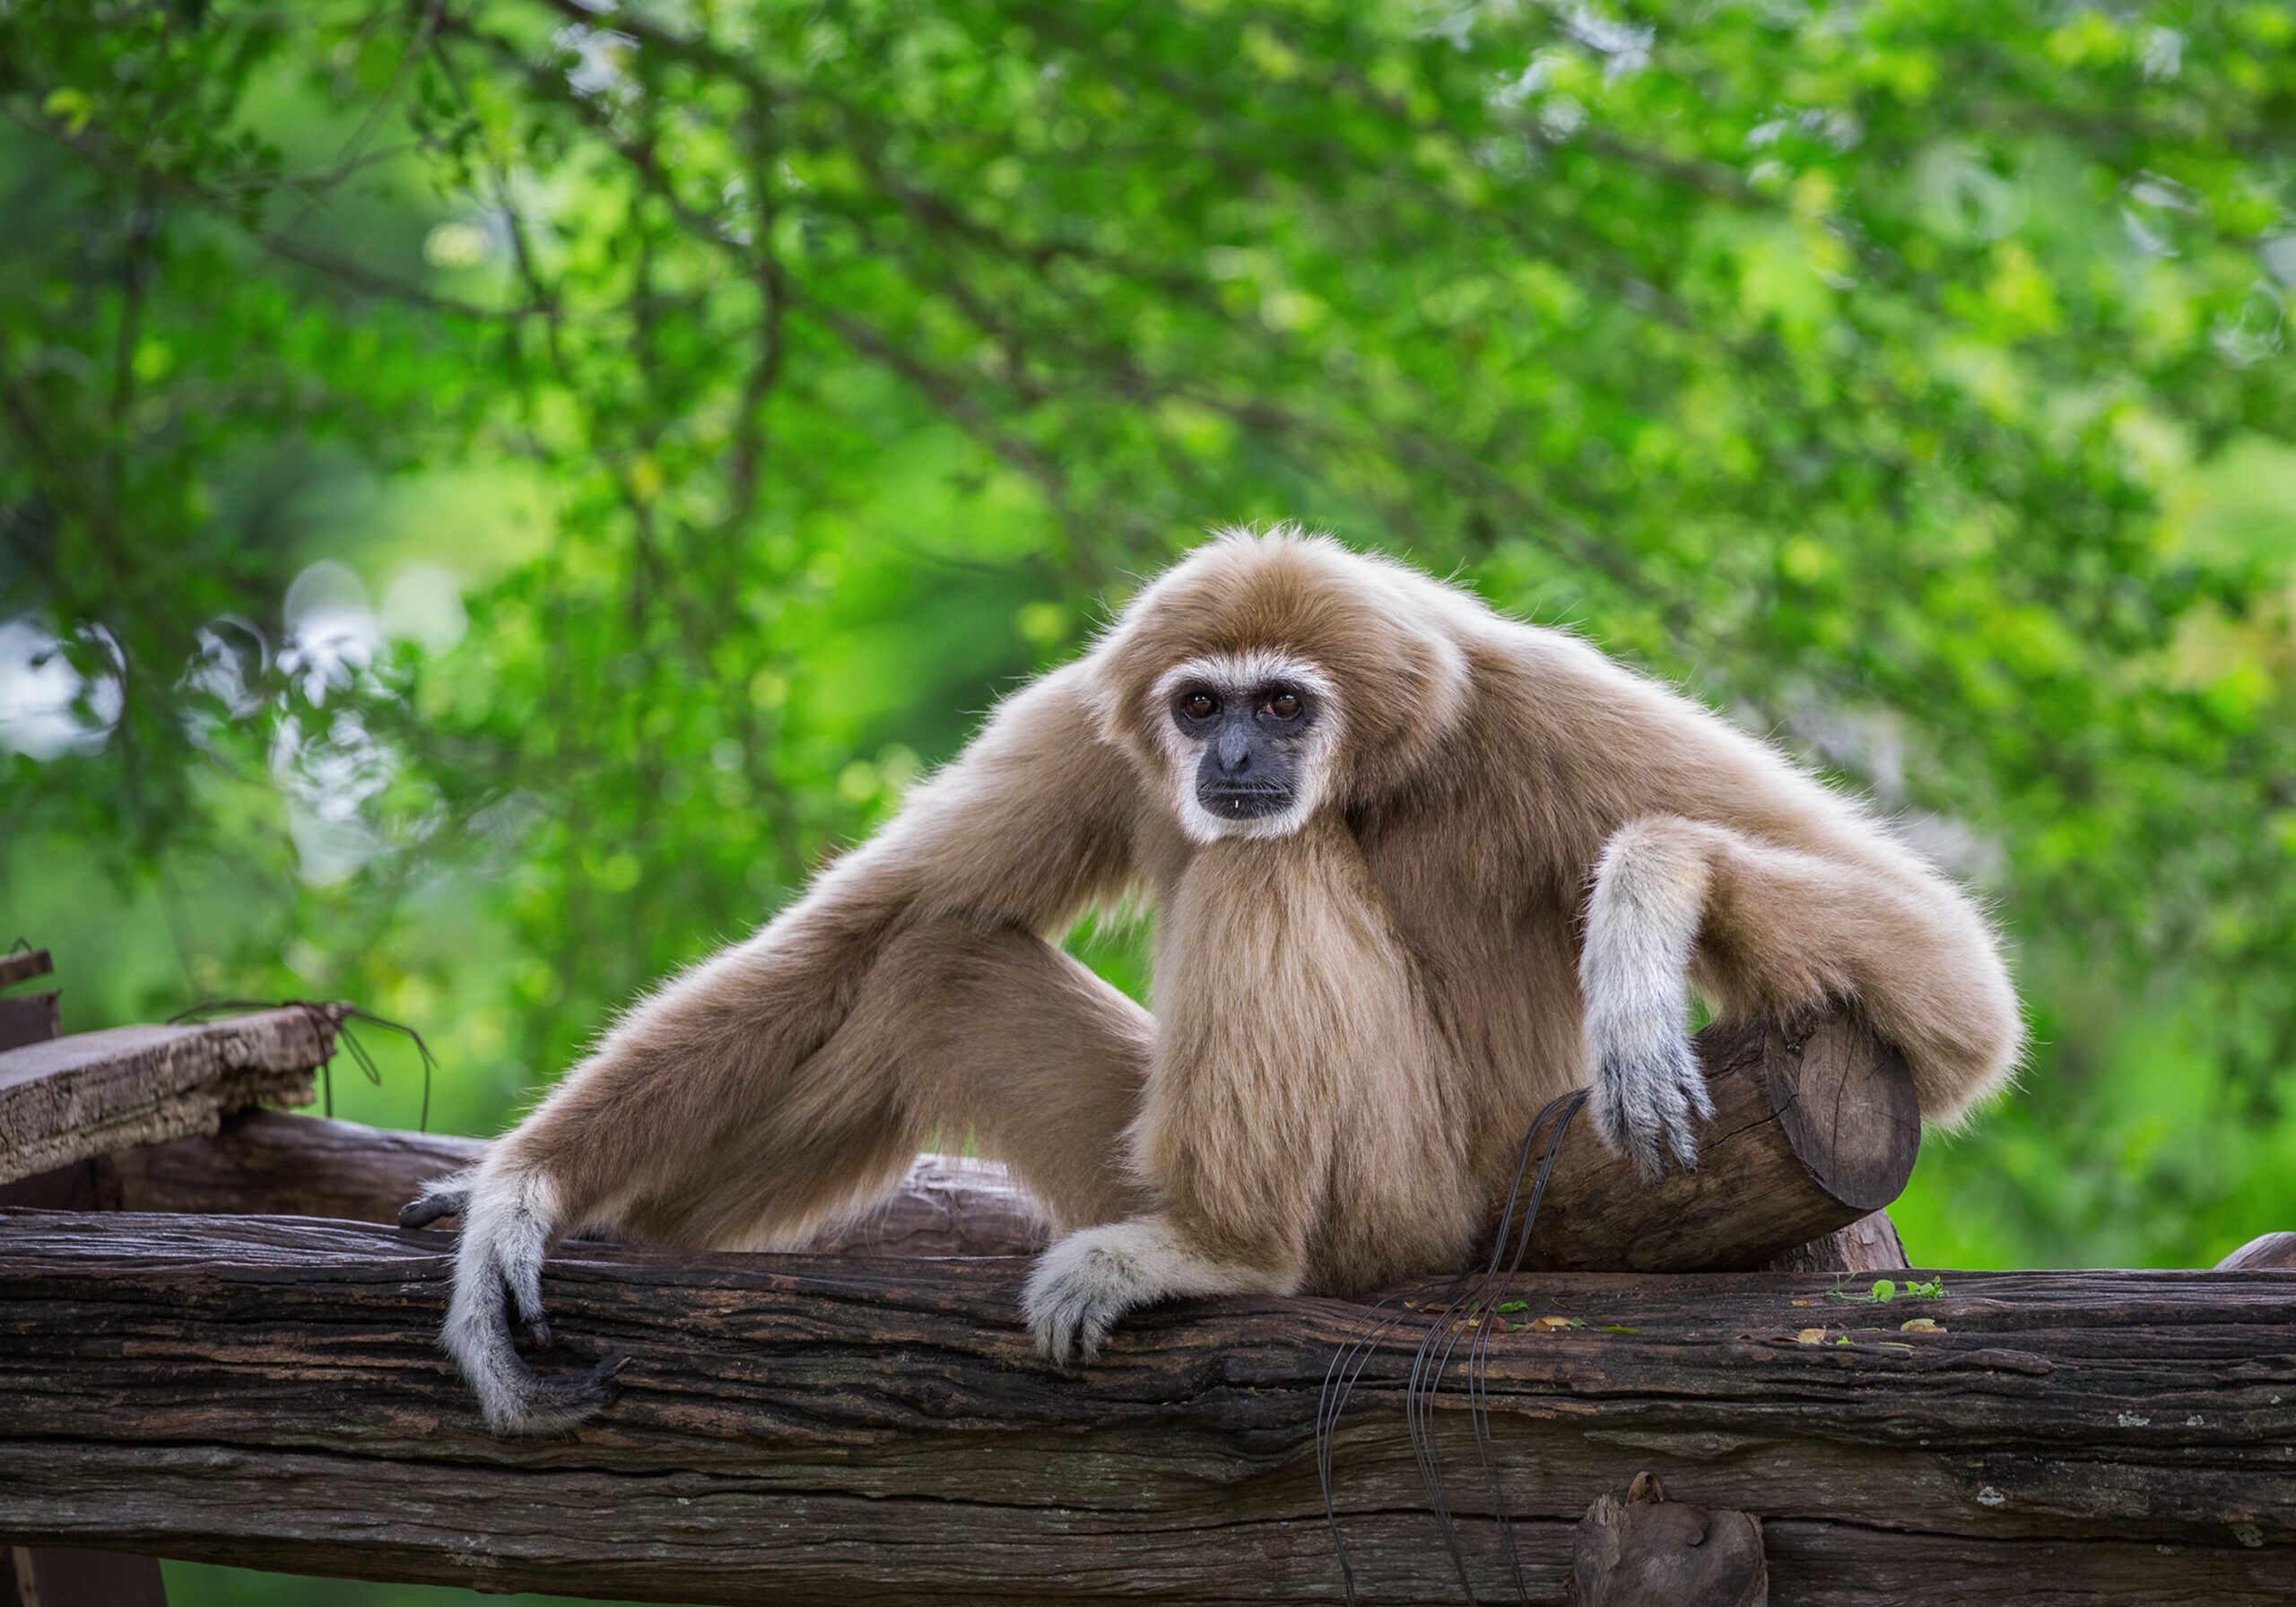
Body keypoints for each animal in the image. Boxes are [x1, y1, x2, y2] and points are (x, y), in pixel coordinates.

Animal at [406, 527, 2021, 1434]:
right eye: (1201, 705)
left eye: (1286, 704)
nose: (1238, 755)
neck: (1379, 764)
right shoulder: (1089, 716)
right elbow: (874, 926)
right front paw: (516, 1198)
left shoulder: (1536, 696)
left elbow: (1957, 998)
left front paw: (1646, 897)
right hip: (1128, 1149)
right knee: (933, 963)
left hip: (1416, 1203)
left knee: (1262, 874)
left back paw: (1223, 1251)